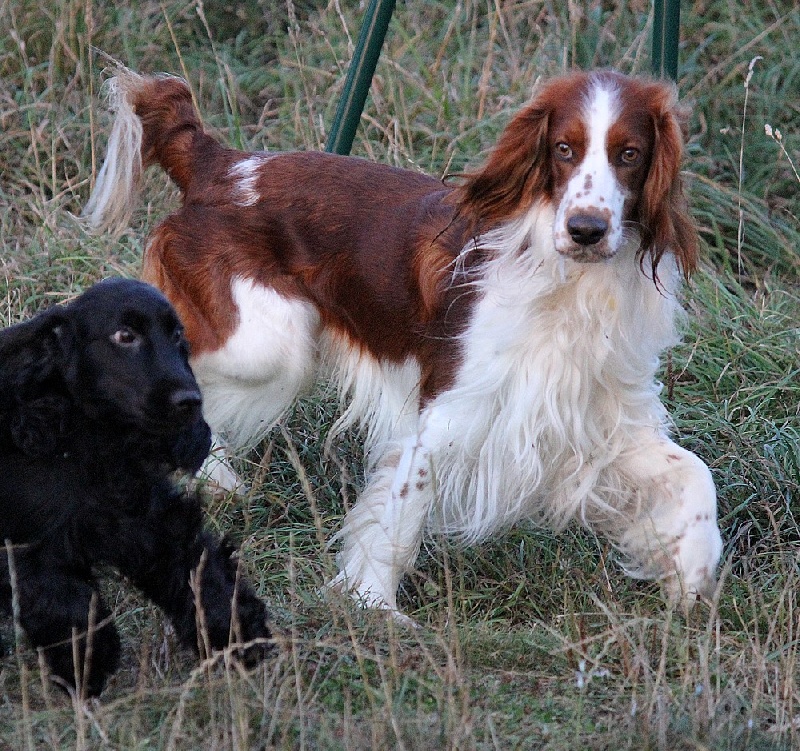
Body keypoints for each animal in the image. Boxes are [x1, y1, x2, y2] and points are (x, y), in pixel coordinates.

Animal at [0, 280, 272, 700]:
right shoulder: (36, 547)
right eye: (124, 336)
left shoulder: (145, 521)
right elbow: (68, 606)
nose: (190, 401)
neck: (93, 441)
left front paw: (236, 633)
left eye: (178, 336)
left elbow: (198, 572)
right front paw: (87, 669)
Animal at [84, 67, 720, 616]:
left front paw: (692, 577)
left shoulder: (601, 419)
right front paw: (374, 606)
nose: (586, 229)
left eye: (629, 154)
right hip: (270, 344)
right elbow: (400, 511)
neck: (572, 287)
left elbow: (695, 475)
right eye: (564, 149)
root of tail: (222, 162)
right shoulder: (449, 415)